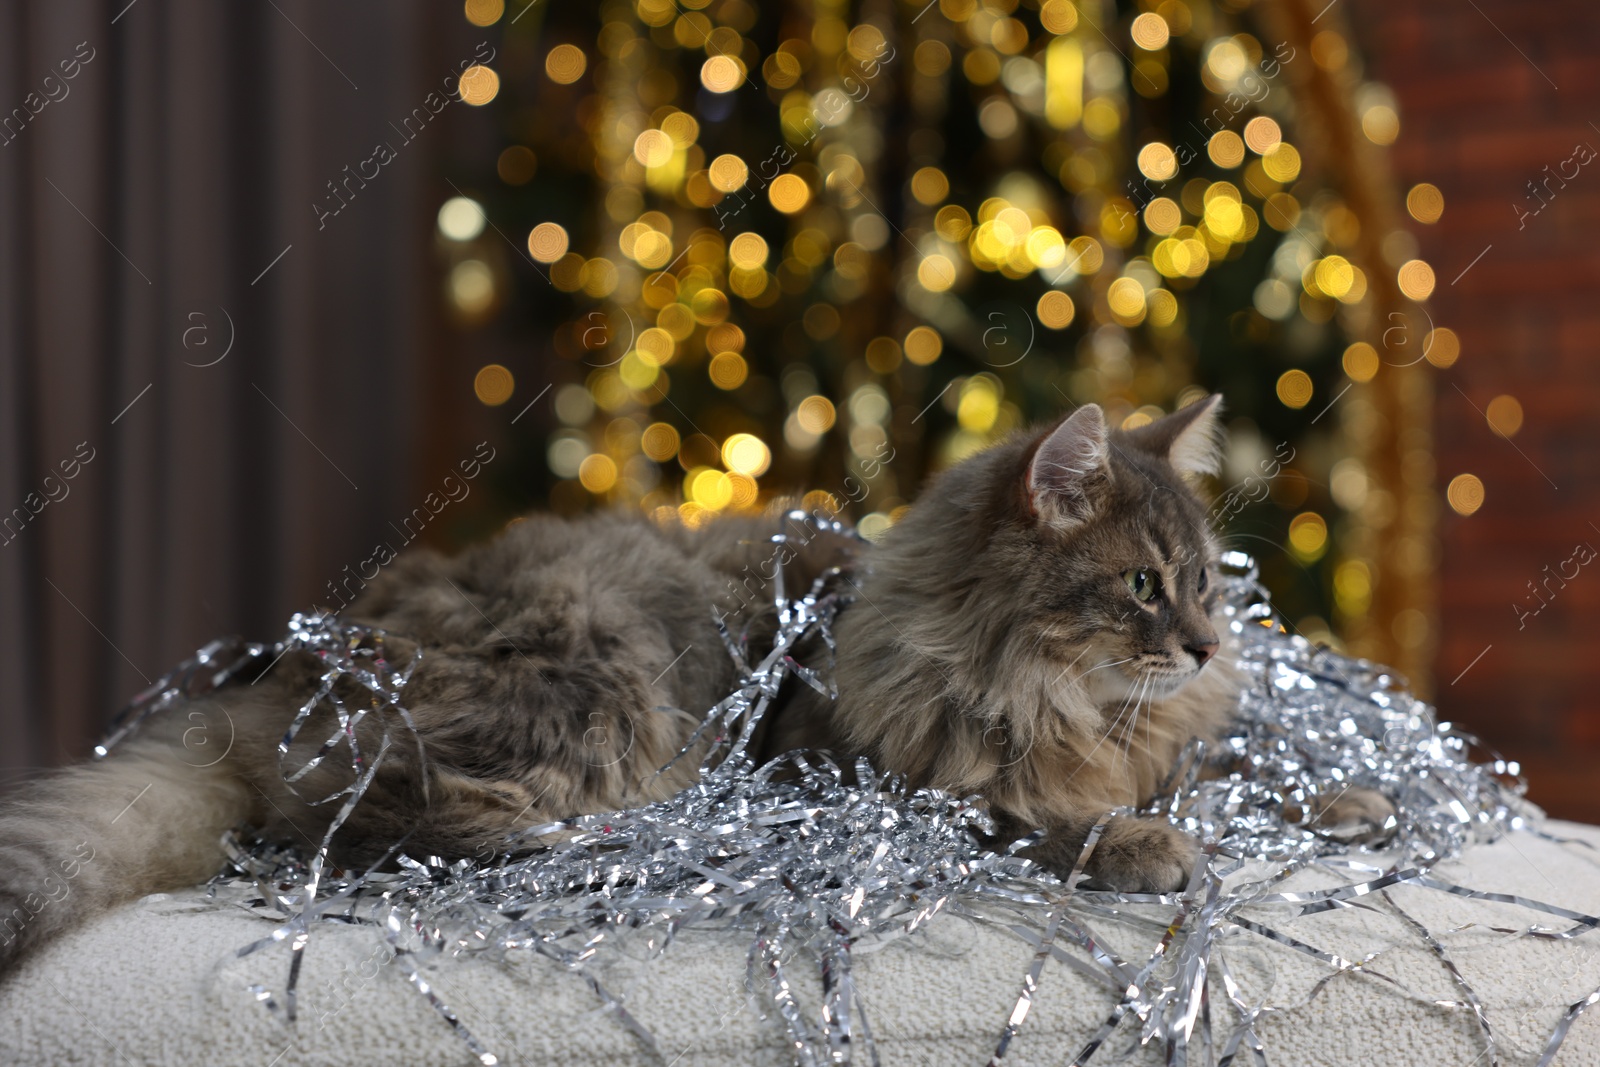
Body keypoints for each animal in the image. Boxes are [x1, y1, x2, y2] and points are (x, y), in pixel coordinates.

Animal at [0, 396, 1388, 972]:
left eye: (1205, 584)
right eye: (1143, 586)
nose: (1203, 646)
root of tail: (289, 661)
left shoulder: (1159, 738)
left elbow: (1235, 762)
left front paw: (1349, 798)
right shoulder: (871, 779)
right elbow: (1040, 814)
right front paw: (1144, 840)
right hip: (608, 680)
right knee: (375, 828)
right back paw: (640, 838)